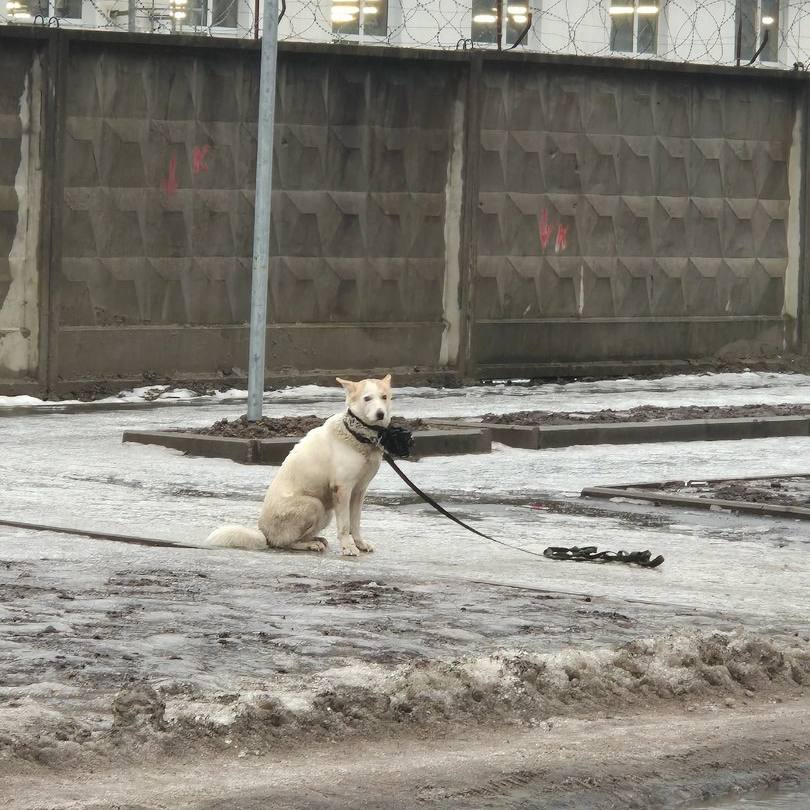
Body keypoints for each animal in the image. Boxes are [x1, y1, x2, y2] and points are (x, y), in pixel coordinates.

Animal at [204, 374, 390, 556]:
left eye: (384, 397)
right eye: (367, 398)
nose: (381, 414)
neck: (359, 435)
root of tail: (264, 534)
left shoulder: (359, 491)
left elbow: (355, 523)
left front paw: (359, 543)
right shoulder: (342, 489)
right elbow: (345, 525)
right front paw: (348, 547)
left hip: (326, 511)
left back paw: (316, 540)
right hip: (314, 505)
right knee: (286, 543)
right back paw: (309, 545)